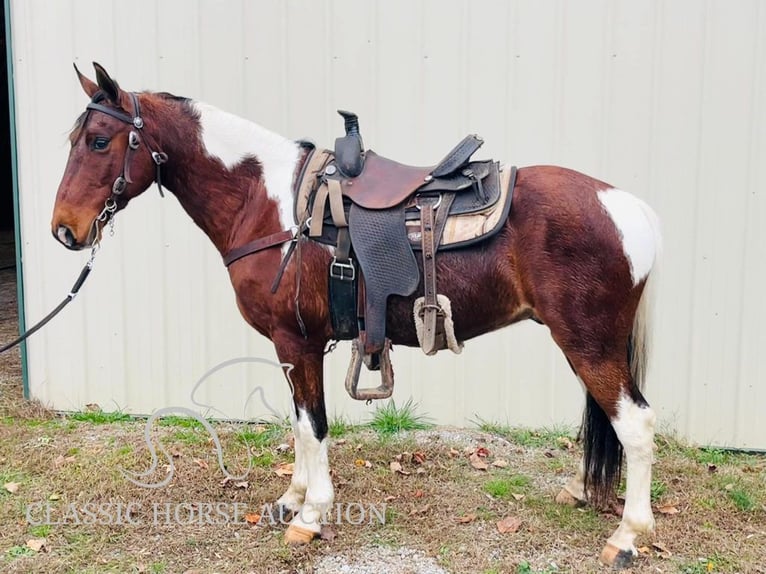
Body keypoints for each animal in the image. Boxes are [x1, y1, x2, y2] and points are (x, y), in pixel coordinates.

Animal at [51, 62, 664, 568]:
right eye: (76, 139)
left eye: (100, 141)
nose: (64, 230)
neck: (269, 204)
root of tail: (633, 210)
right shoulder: (293, 348)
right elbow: (300, 423)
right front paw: (291, 499)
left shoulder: (295, 340)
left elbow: (314, 425)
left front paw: (310, 515)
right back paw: (583, 491)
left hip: (589, 344)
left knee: (635, 425)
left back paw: (628, 536)